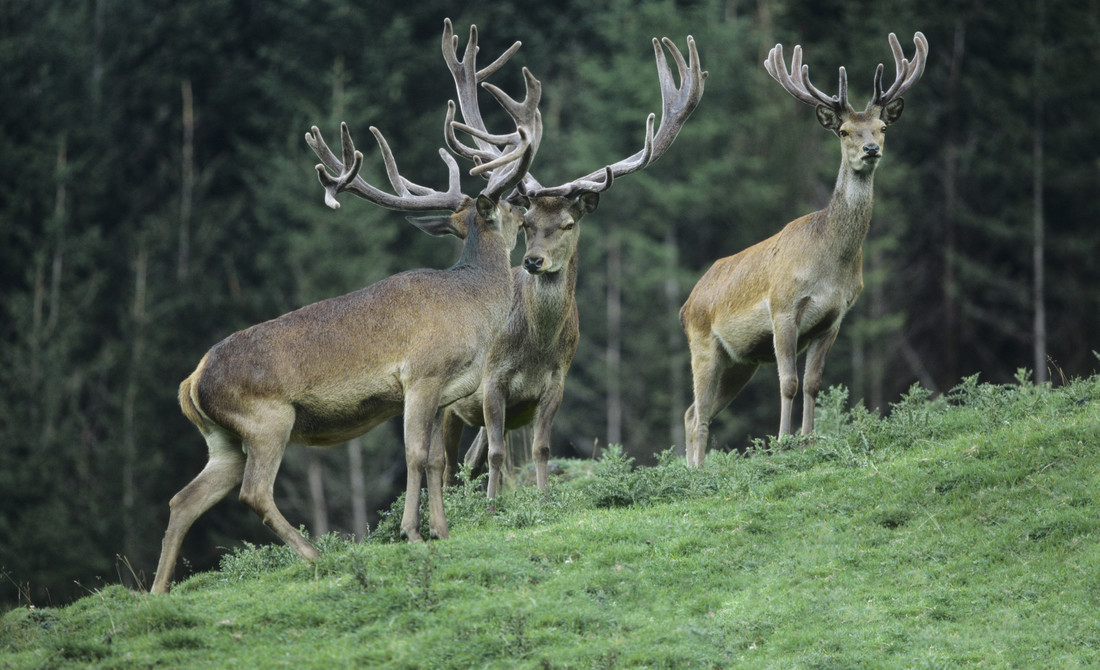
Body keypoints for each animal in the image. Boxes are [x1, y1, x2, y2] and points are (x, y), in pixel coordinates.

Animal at [148, 65, 539, 594]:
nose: (529, 204)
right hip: (267, 418)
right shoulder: (421, 374)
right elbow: (416, 455)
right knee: (253, 492)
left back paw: (156, 591)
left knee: (184, 498)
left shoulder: (446, 389)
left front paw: (441, 530)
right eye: (512, 208)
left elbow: (438, 460)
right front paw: (412, 533)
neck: (474, 308)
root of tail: (193, 380)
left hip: (222, 438)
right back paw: (315, 553)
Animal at [435, 19, 704, 497]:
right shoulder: (491, 381)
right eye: (525, 224)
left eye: (566, 224)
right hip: (449, 400)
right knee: (450, 467)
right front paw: (493, 506)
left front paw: (542, 499)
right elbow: (499, 454)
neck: (535, 348)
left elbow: (540, 448)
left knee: (469, 460)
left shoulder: (556, 383)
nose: (533, 262)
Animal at [682, 31, 924, 464]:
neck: (829, 264)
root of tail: (686, 304)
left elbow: (813, 383)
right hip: (703, 344)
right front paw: (781, 442)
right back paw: (693, 470)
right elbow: (788, 382)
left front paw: (810, 440)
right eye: (844, 131)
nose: (871, 150)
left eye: (881, 127)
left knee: (694, 411)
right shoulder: (783, 309)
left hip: (740, 360)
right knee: (698, 413)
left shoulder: (834, 317)